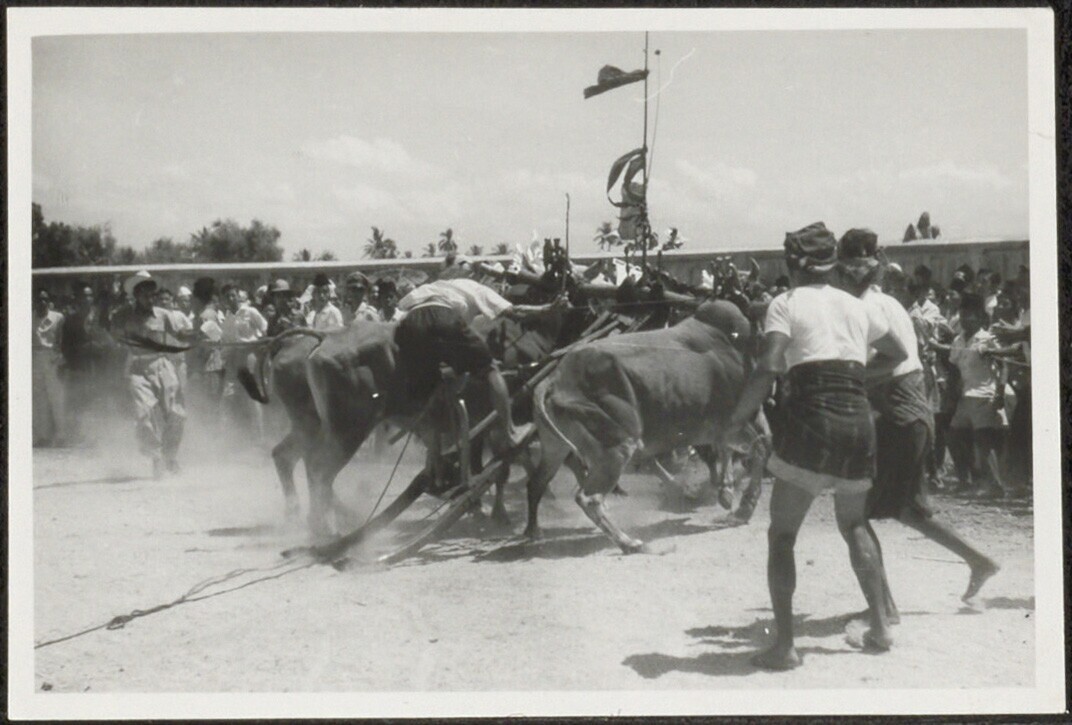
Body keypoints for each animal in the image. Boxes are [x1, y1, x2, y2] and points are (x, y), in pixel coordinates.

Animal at [523, 299, 768, 553]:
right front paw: (742, 510)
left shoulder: (724, 428)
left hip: (555, 448)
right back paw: (629, 542)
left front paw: (727, 494)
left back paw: (533, 532)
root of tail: (554, 381)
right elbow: (760, 449)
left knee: (536, 483)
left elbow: (732, 449)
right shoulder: (736, 422)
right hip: (617, 448)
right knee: (589, 498)